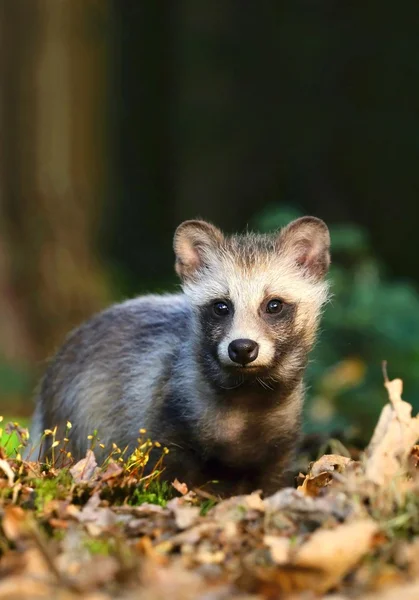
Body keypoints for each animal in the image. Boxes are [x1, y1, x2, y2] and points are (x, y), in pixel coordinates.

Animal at [30, 218, 332, 494]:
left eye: (274, 305)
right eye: (221, 306)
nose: (242, 348)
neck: (246, 402)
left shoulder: (281, 441)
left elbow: (272, 482)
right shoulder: (164, 418)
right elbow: (164, 475)